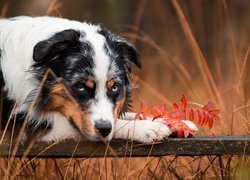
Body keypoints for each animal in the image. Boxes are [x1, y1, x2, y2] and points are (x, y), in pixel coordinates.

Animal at [0, 16, 195, 143]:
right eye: (80, 87)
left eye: (114, 87)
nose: (103, 129)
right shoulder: (25, 127)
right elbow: (112, 123)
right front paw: (147, 128)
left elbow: (127, 114)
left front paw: (176, 122)